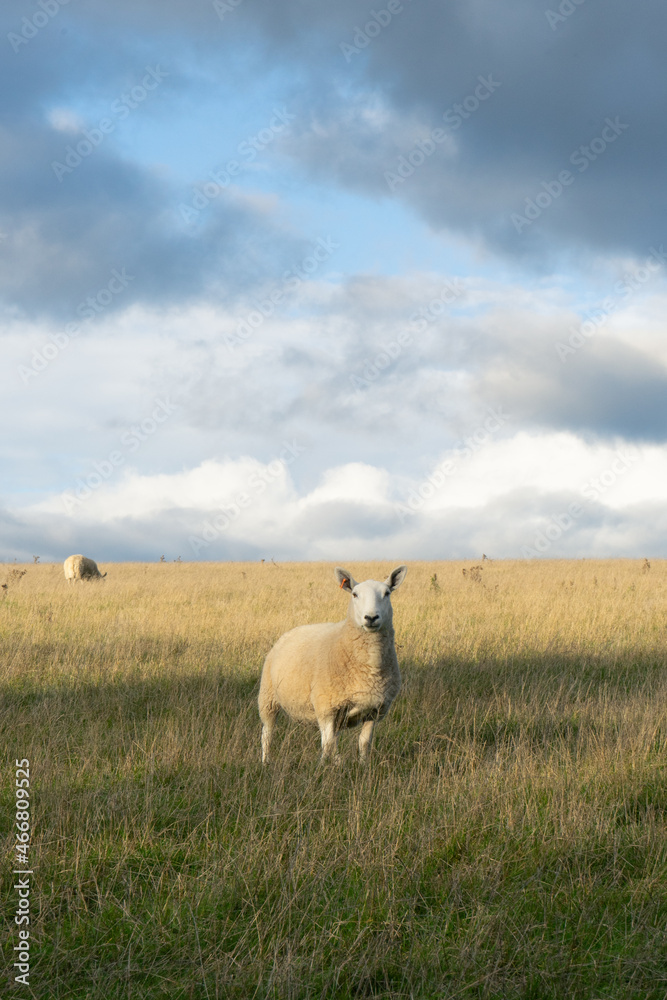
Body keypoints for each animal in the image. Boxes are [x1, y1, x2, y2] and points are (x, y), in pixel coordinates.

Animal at [258, 564, 407, 763]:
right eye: (355, 594)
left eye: (387, 593)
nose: (371, 617)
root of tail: (291, 631)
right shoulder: (325, 707)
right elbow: (329, 746)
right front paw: (330, 767)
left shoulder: (374, 710)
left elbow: (363, 743)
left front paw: (363, 765)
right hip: (268, 698)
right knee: (267, 733)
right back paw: (266, 761)